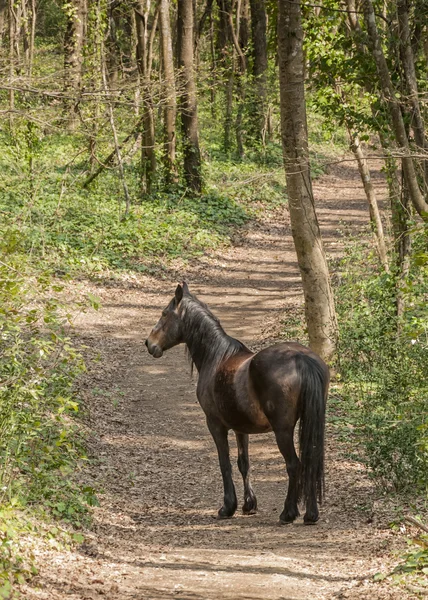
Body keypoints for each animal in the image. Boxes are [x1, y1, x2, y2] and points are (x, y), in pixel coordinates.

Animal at [145, 284, 330, 524]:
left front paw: (228, 507)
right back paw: (311, 514)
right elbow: (244, 464)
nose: (149, 344)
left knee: (294, 465)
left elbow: (225, 463)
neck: (216, 357)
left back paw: (288, 513)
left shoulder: (215, 425)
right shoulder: (241, 429)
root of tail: (300, 358)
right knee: (310, 461)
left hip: (283, 430)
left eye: (164, 314)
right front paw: (249, 504)